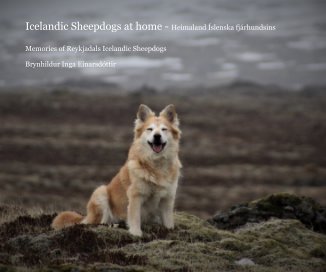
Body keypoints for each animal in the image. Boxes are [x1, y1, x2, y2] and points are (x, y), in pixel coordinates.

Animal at [52, 104, 182, 236]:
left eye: (164, 129)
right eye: (150, 129)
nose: (157, 136)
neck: (156, 165)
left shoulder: (167, 199)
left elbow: (168, 221)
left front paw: (170, 231)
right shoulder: (135, 196)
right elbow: (135, 218)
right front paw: (136, 234)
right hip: (101, 192)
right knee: (97, 223)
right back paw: (112, 225)